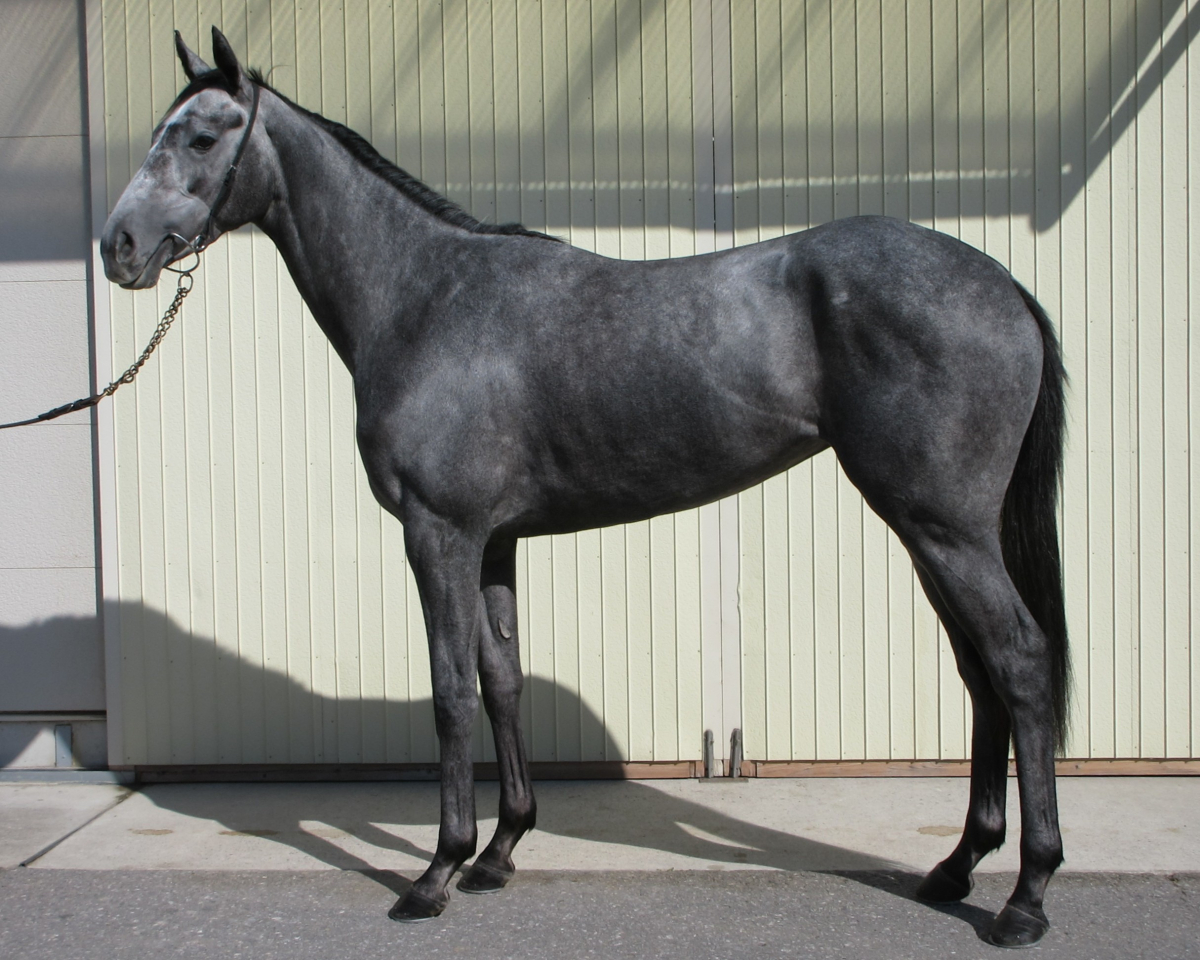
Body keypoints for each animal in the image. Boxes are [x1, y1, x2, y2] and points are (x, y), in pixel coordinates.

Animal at [101, 28, 1068, 947]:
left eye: (200, 136)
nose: (118, 247)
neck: (425, 298)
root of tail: (1005, 285)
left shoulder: (438, 533)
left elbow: (450, 691)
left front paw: (436, 873)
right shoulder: (493, 541)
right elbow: (501, 680)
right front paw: (499, 852)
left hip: (943, 527)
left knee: (1020, 661)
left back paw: (1026, 896)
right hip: (932, 531)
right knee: (980, 672)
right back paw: (957, 867)